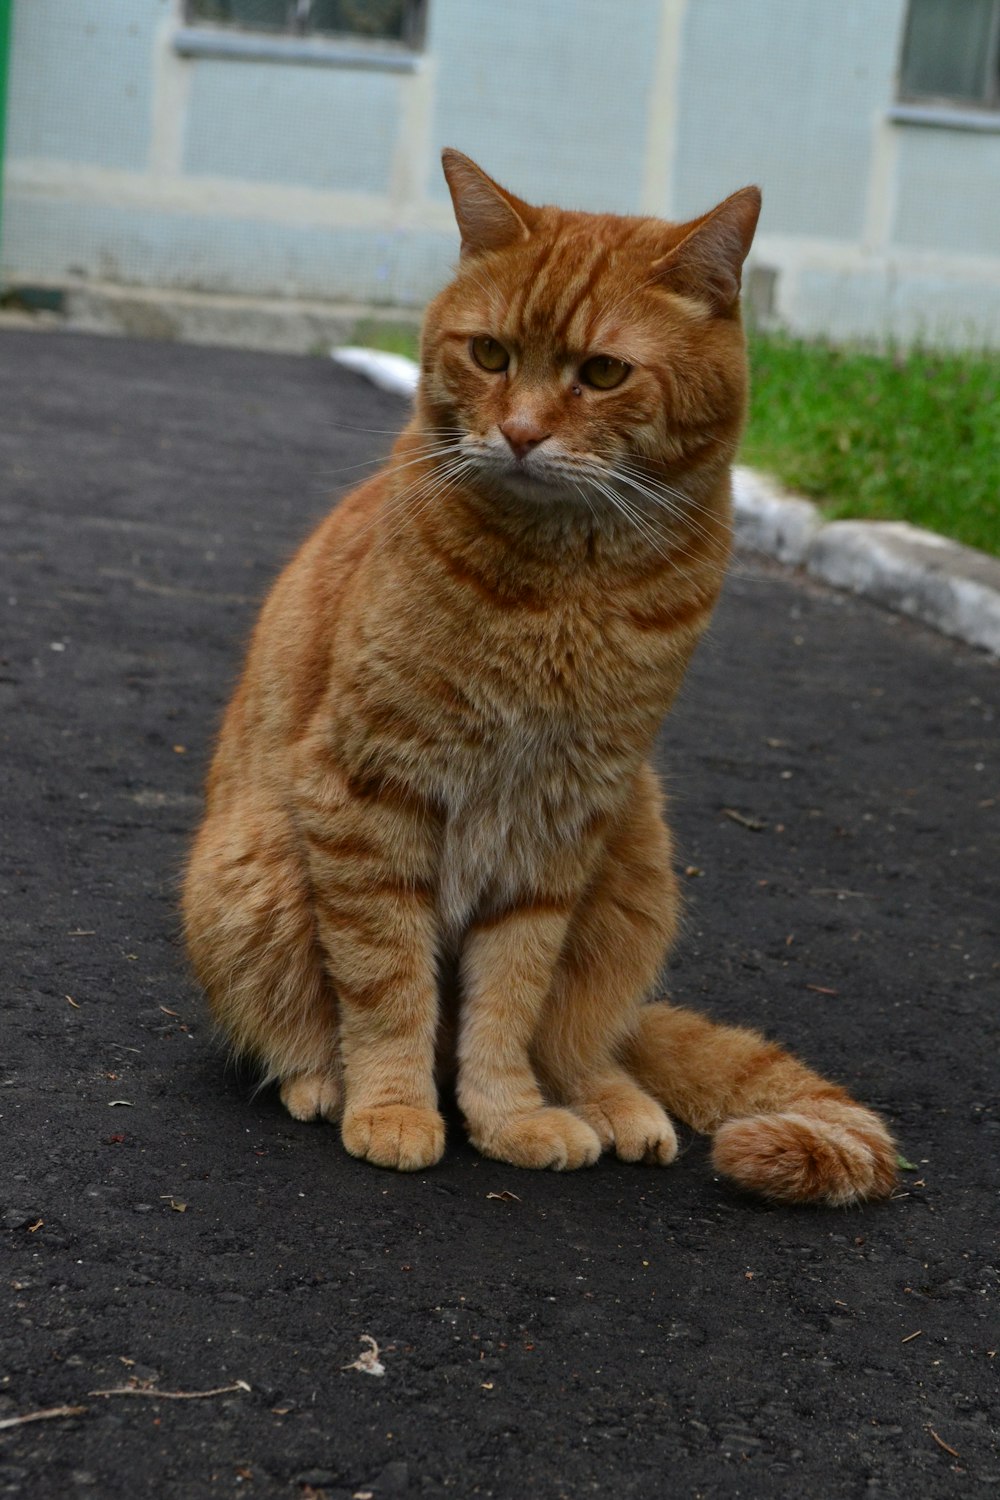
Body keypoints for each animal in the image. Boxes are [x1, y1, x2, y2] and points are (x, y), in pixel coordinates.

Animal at [182, 152, 899, 1206]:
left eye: (601, 373)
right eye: (488, 355)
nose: (518, 432)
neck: (562, 587)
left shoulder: (561, 820)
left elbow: (510, 1000)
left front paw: (508, 1117)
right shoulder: (368, 793)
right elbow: (387, 983)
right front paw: (394, 1108)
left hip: (635, 855)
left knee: (589, 1042)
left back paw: (613, 1106)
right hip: (255, 864)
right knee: (304, 1023)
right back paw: (326, 1082)